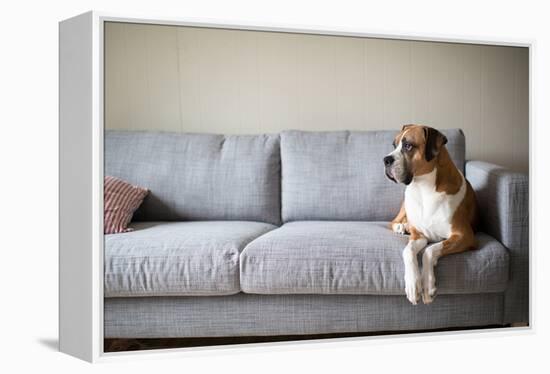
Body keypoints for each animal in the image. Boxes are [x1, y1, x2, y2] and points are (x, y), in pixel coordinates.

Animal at [384, 124, 478, 306]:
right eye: (394, 145)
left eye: (408, 146)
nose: (386, 159)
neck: (423, 188)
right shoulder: (418, 236)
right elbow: (408, 251)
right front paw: (413, 284)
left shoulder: (464, 236)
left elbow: (429, 251)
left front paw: (427, 285)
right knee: (393, 221)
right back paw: (401, 226)